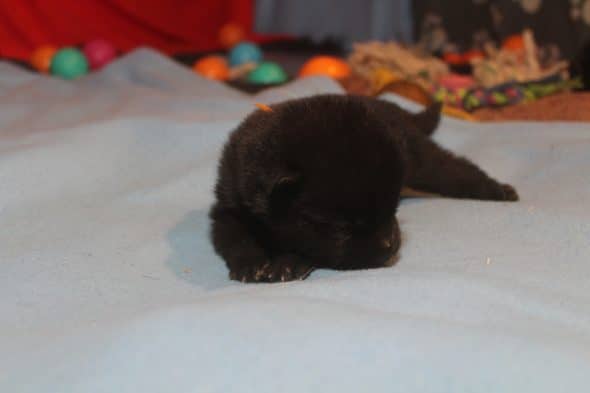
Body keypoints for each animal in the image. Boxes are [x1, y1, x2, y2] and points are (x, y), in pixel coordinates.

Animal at [209, 95, 520, 282]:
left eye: (393, 210)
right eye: (342, 228)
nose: (390, 246)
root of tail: (396, 109)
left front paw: (288, 262)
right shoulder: (227, 207)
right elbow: (234, 237)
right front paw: (252, 264)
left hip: (420, 159)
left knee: (454, 169)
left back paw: (498, 190)